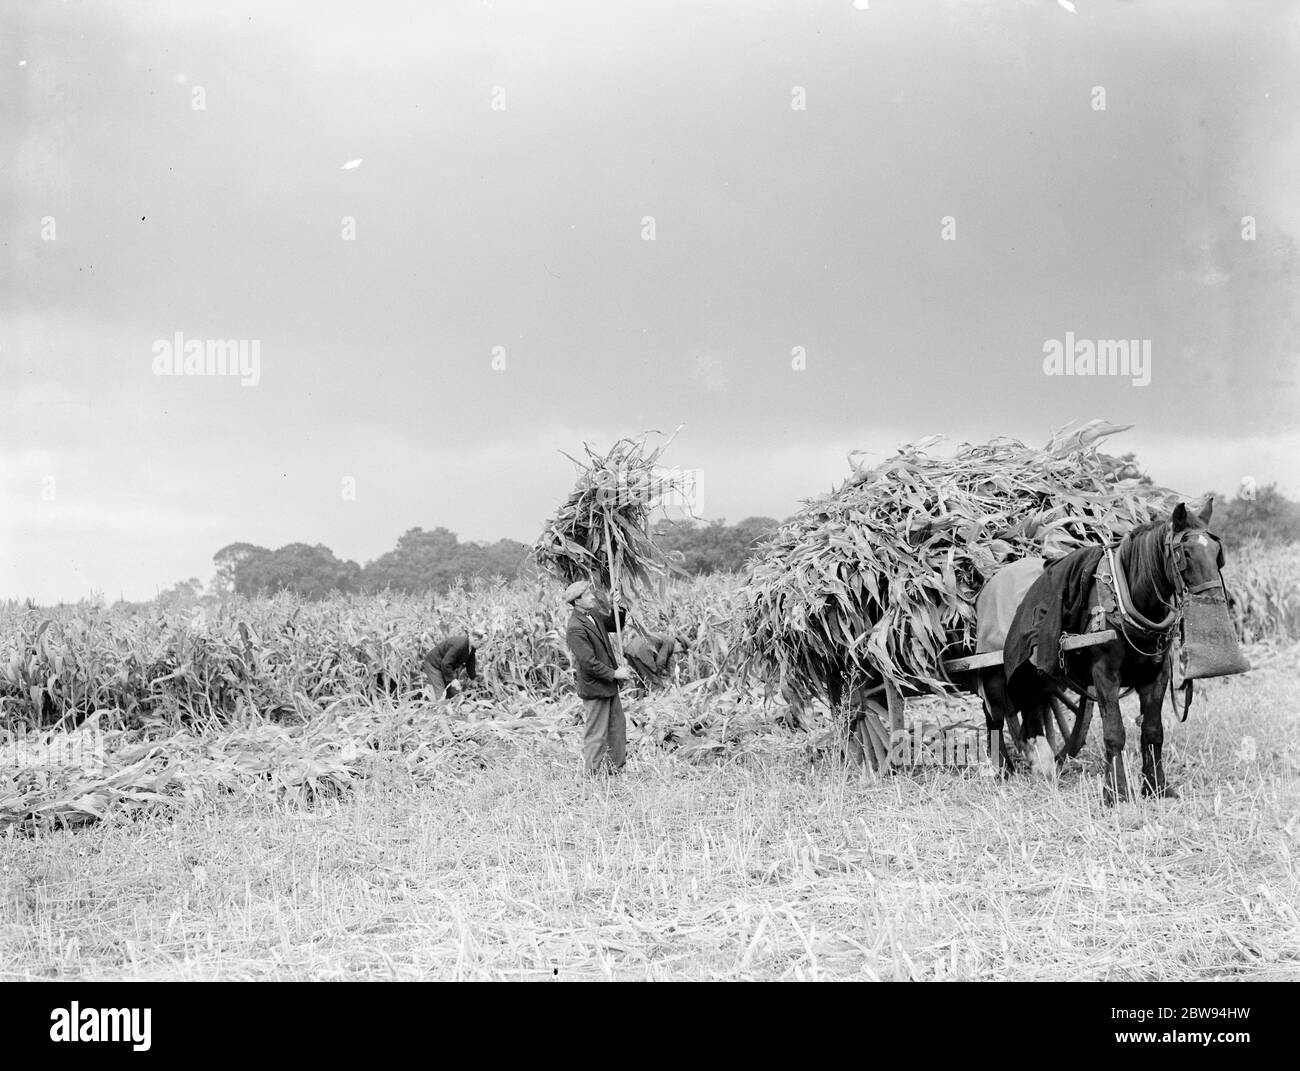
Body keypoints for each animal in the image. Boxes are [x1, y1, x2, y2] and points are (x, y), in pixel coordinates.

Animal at [982, 501, 1227, 800]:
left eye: (1217, 552)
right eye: (1185, 553)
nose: (1214, 601)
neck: (1125, 601)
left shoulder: (1156, 675)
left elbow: (1153, 731)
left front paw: (1157, 787)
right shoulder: (1104, 674)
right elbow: (1114, 732)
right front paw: (1116, 792)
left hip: (1035, 673)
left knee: (1032, 710)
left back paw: (1041, 765)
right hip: (994, 671)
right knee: (994, 715)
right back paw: (1001, 770)